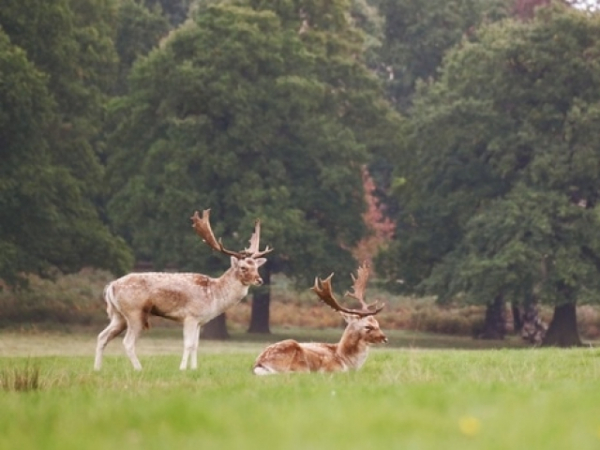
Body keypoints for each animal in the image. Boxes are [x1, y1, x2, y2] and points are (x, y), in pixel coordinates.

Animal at [94, 209, 272, 370]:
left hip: (119, 316)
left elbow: (196, 345)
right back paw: (139, 369)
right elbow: (188, 344)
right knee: (128, 342)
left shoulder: (200, 321)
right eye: (243, 267)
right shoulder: (190, 316)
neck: (213, 296)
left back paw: (97, 368)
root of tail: (111, 286)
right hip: (134, 312)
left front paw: (193, 369)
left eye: (256, 267)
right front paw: (182, 369)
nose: (260, 280)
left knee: (102, 336)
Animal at [252, 262, 384, 374]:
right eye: (367, 326)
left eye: (377, 323)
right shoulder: (331, 369)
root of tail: (259, 363)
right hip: (299, 365)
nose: (384, 338)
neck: (345, 360)